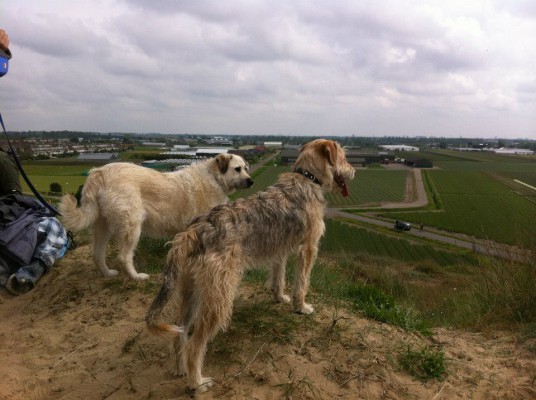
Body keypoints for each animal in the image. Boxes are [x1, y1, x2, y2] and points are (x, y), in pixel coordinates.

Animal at [59, 155, 252, 280]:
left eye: (246, 168)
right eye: (237, 169)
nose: (251, 181)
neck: (214, 177)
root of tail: (100, 172)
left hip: (102, 226)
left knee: (97, 254)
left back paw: (107, 274)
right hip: (132, 226)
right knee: (123, 257)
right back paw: (137, 277)